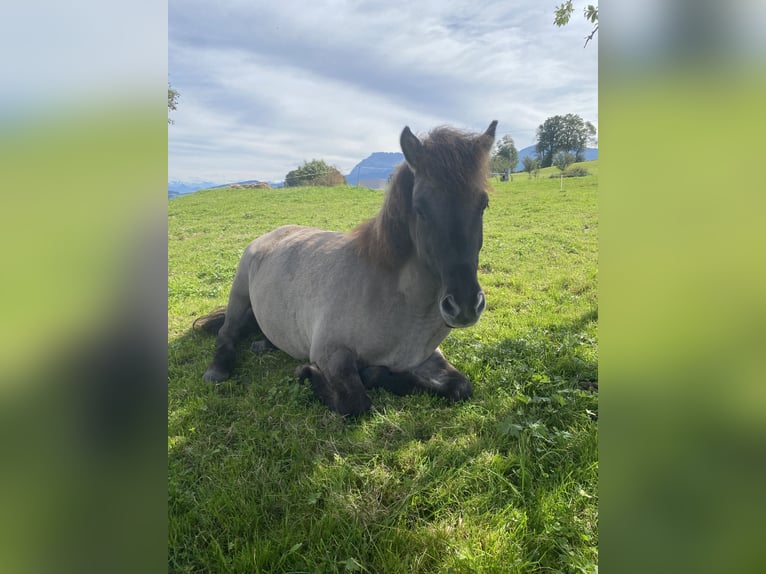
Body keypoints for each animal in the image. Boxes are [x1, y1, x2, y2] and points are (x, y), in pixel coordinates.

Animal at [193, 120, 498, 416]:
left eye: (483, 204)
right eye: (420, 208)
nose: (464, 306)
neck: (399, 303)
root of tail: (272, 234)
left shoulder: (428, 358)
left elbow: (461, 387)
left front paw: (378, 374)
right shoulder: (331, 354)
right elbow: (355, 402)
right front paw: (307, 372)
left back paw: (263, 344)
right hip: (239, 292)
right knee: (227, 332)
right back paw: (217, 370)